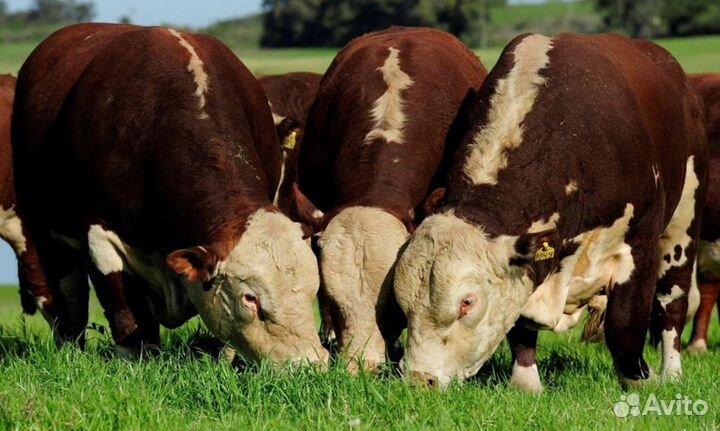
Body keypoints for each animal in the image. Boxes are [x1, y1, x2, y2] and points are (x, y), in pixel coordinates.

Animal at [12, 23, 328, 365]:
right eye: (250, 298)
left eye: (312, 288)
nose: (308, 364)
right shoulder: (100, 237)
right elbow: (126, 316)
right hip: (45, 234)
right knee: (69, 300)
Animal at [394, 33, 707, 391]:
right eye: (403, 302)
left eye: (467, 302)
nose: (420, 378)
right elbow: (521, 326)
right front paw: (526, 384)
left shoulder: (639, 245)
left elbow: (625, 325)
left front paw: (640, 380)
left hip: (683, 223)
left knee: (673, 303)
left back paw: (672, 371)